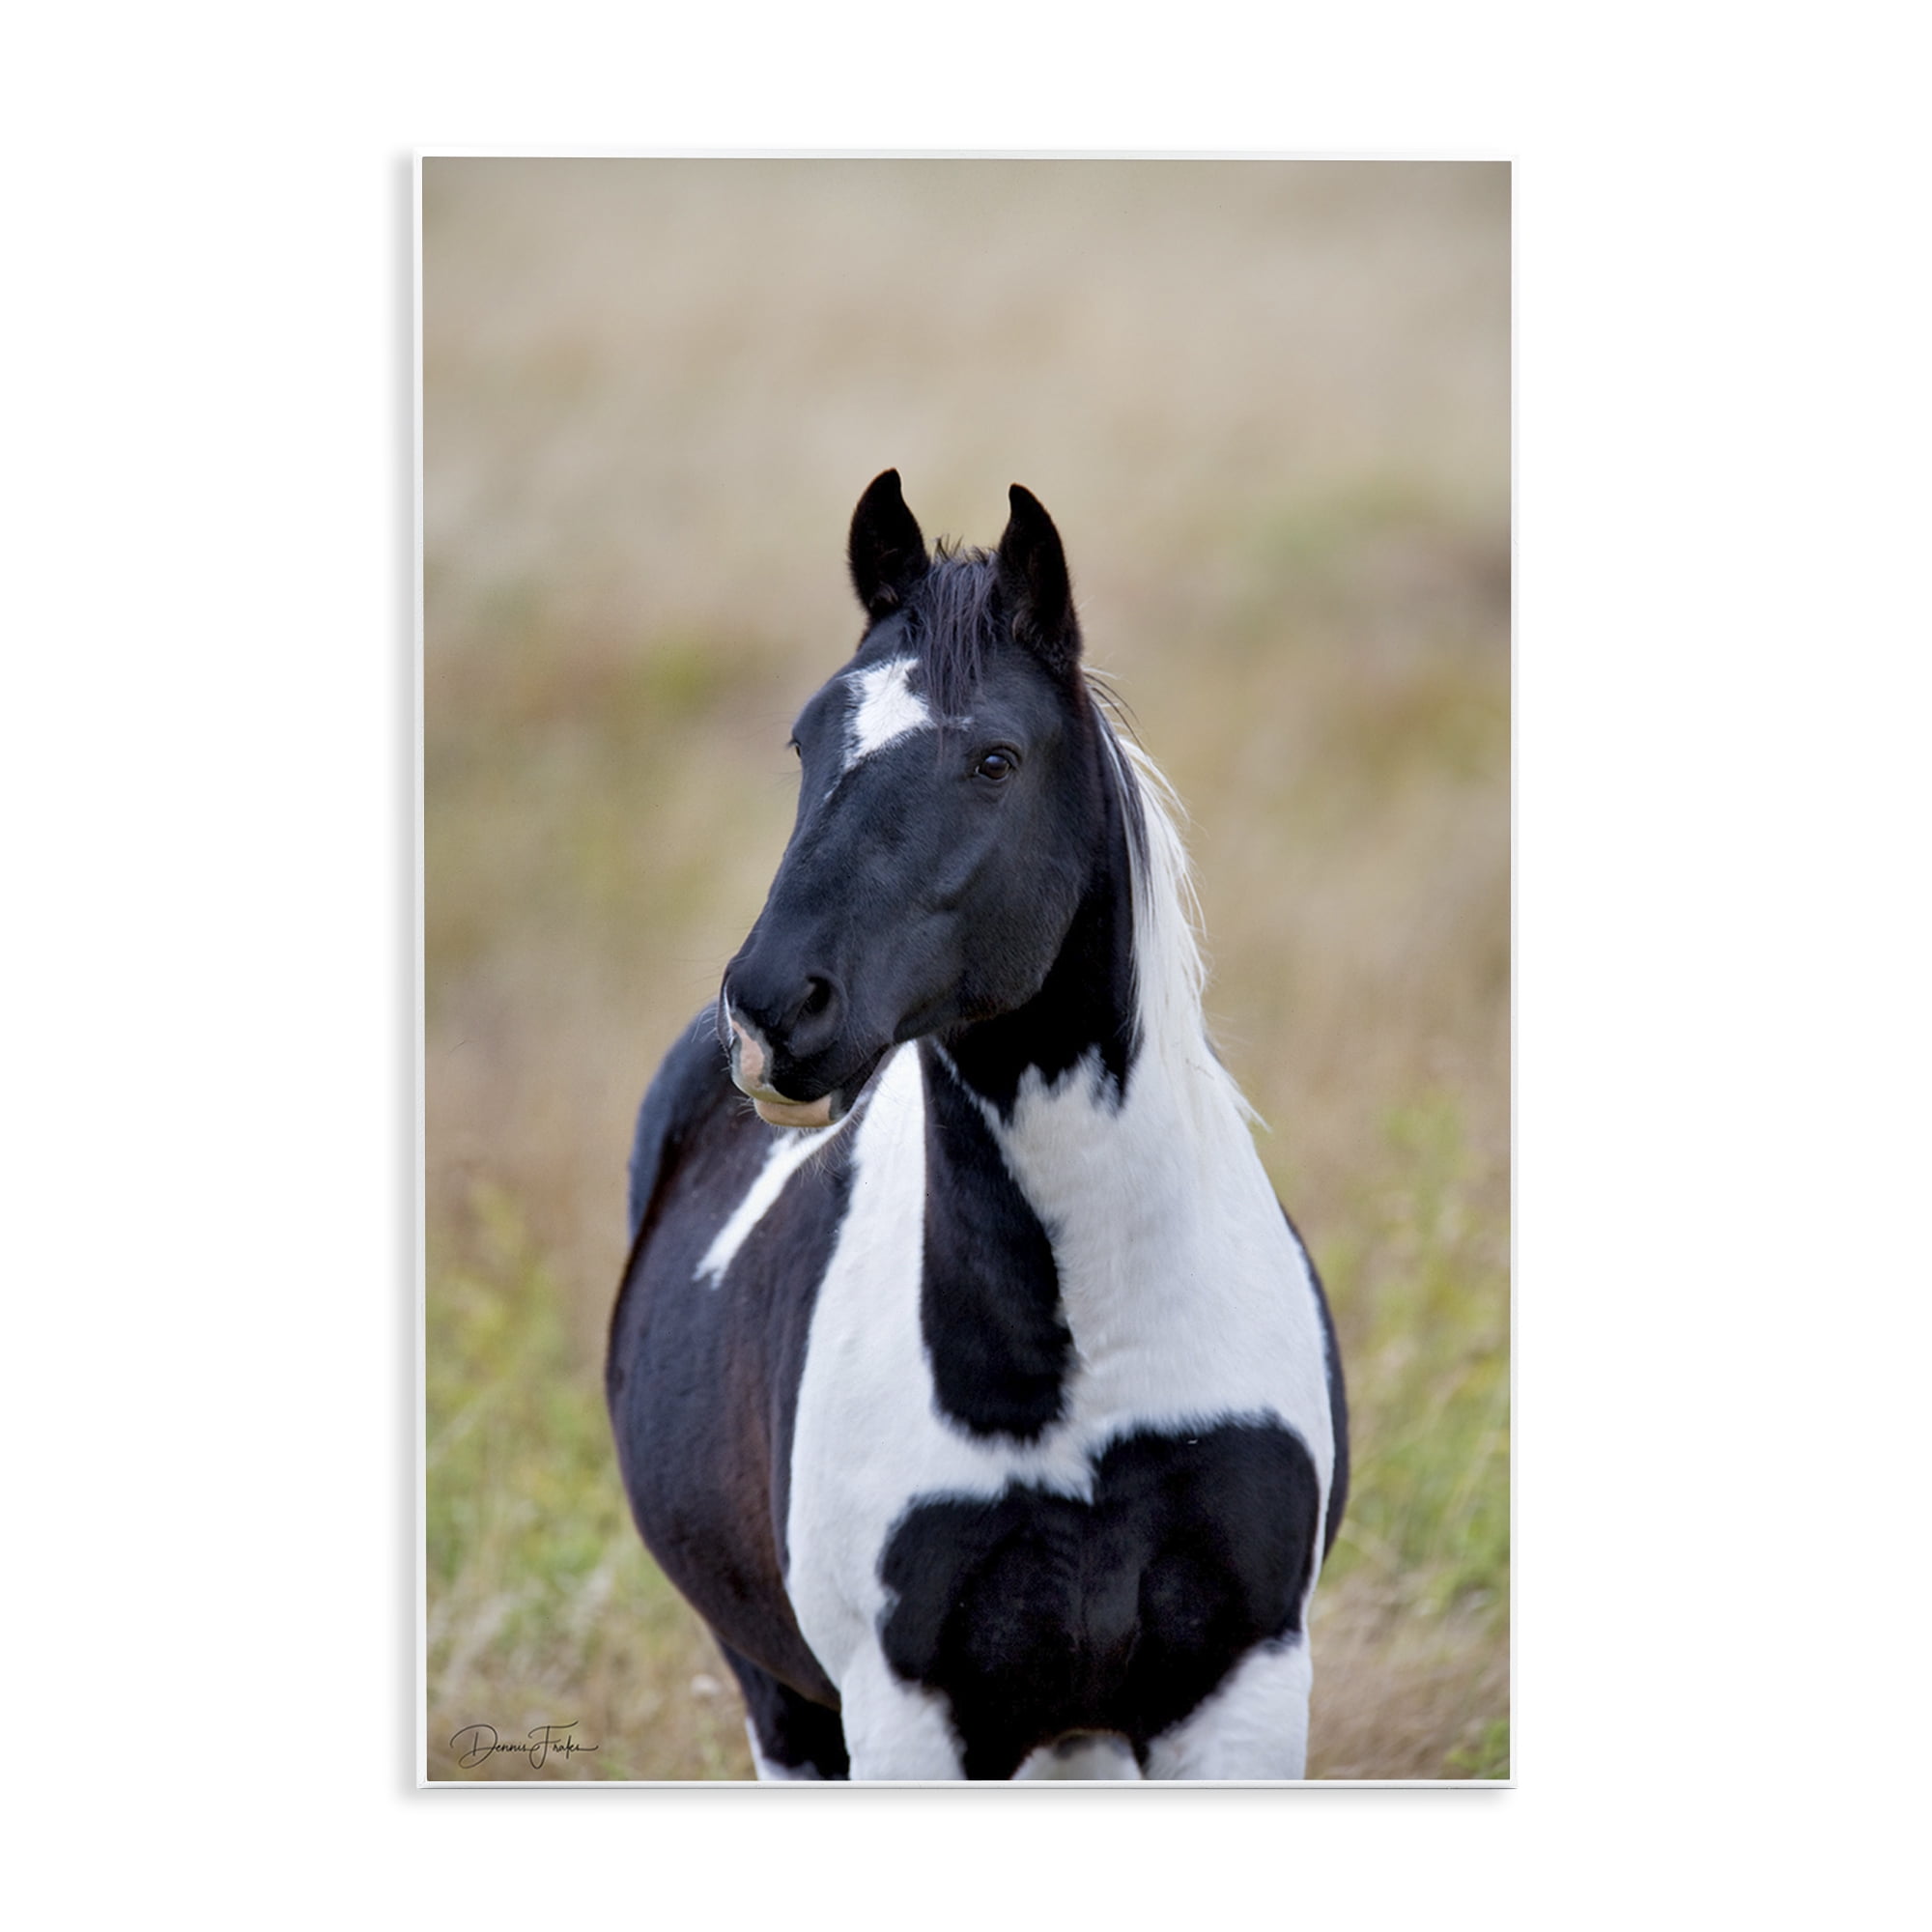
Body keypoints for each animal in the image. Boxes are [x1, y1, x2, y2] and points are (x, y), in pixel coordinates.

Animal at [607, 471, 1349, 1780]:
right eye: (806, 741)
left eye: (995, 758)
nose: (768, 1010)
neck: (1083, 1370)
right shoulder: (909, 1714)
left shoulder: (1241, 1688)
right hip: (786, 1705)